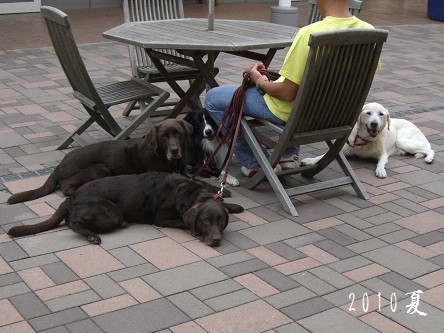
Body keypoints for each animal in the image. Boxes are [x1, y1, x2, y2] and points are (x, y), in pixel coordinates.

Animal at [6, 118, 191, 204]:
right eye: (163, 137)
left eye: (179, 133)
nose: (175, 150)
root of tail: (58, 167)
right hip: (100, 169)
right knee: (67, 189)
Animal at [6, 171, 243, 246]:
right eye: (205, 221)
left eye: (220, 222)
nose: (216, 240)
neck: (189, 194)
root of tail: (71, 199)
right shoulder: (161, 218)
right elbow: (183, 222)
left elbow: (221, 201)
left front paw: (234, 205)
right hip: (110, 211)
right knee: (73, 222)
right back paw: (92, 236)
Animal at [300, 102, 436, 178]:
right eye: (368, 113)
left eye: (381, 114)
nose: (374, 124)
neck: (366, 140)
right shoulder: (344, 149)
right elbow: (323, 156)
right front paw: (309, 161)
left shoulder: (383, 154)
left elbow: (381, 162)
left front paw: (380, 170)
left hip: (402, 140)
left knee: (430, 150)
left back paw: (429, 158)